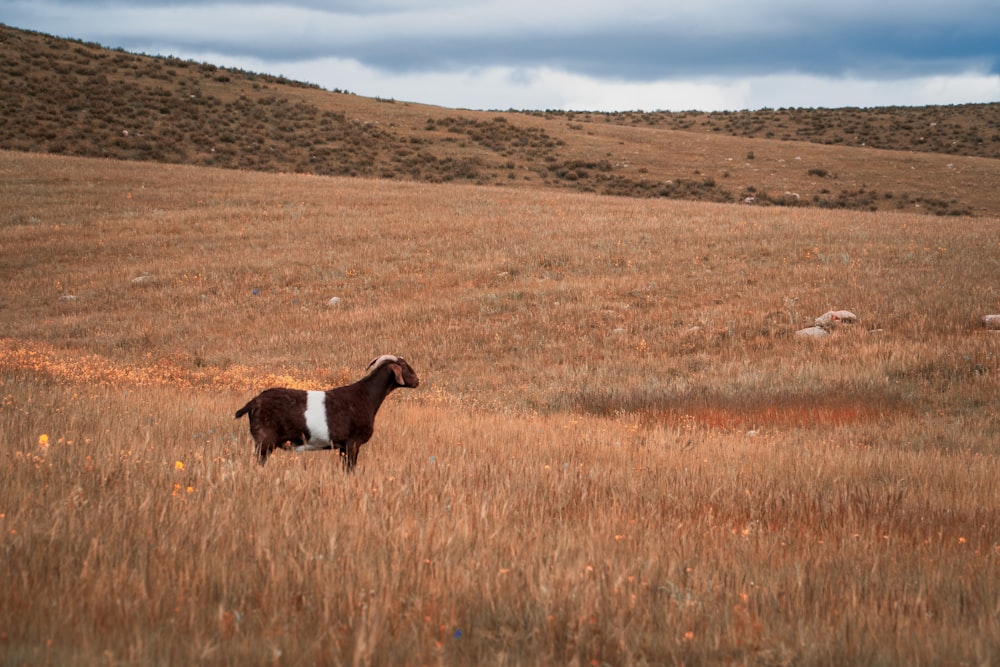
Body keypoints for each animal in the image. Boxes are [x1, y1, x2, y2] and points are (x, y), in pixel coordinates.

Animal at [234, 354, 418, 470]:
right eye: (403, 366)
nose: (417, 381)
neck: (366, 395)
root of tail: (253, 403)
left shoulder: (343, 447)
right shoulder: (353, 443)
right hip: (264, 441)